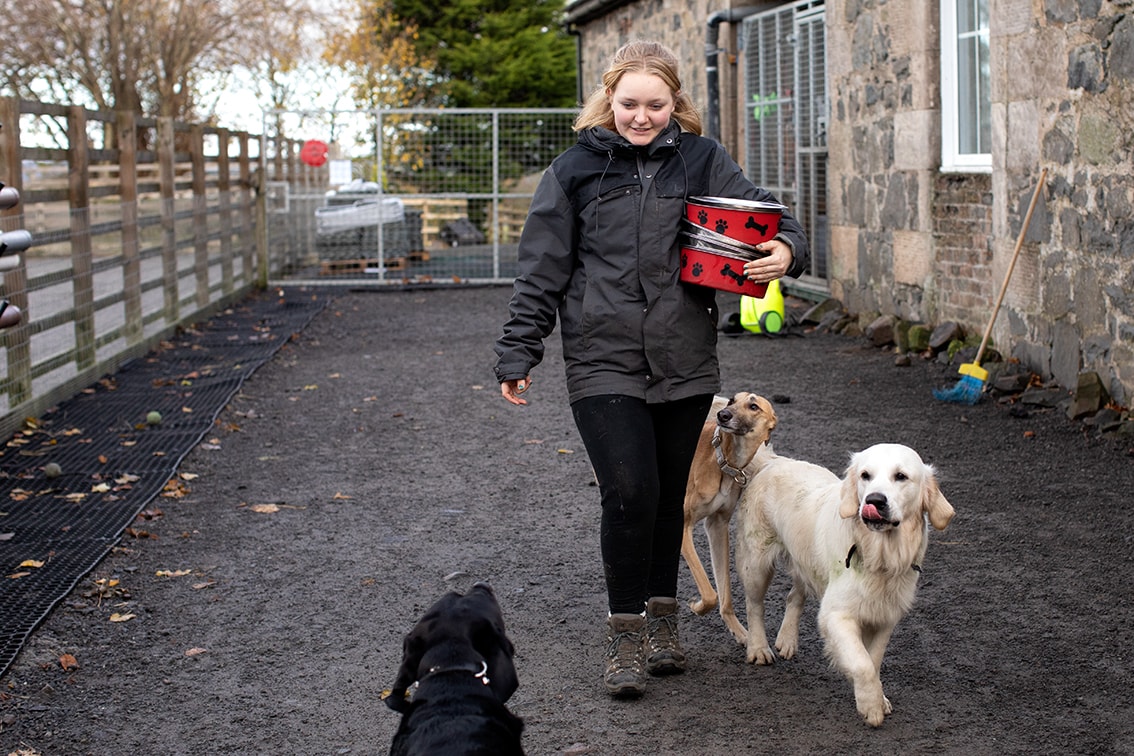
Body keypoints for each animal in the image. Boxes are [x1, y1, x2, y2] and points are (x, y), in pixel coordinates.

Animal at [675, 389, 775, 643]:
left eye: (753, 406)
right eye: (732, 400)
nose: (723, 415)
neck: (723, 461)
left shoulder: (717, 525)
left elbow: (724, 593)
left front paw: (740, 631)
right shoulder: (682, 526)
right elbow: (710, 593)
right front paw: (697, 606)